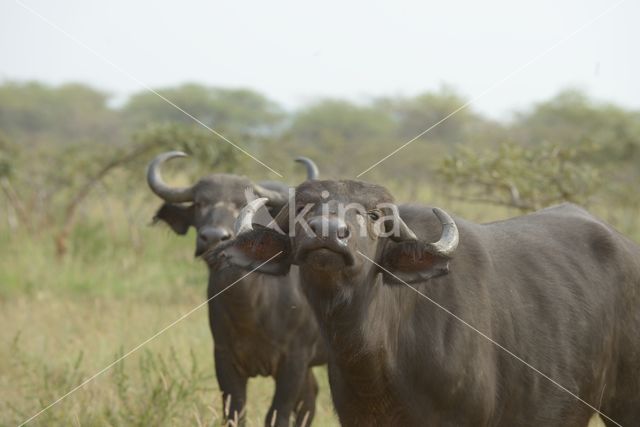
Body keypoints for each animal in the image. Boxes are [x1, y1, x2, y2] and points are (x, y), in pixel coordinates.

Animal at [148, 154, 328, 427]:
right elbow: (234, 412)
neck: (250, 310)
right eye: (199, 203)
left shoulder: (295, 361)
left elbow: (278, 414)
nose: (213, 237)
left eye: (240, 204)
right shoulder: (224, 359)